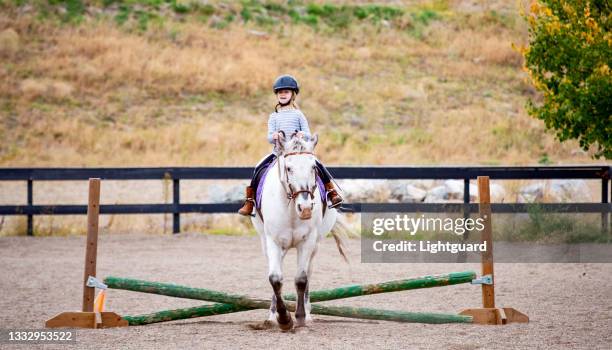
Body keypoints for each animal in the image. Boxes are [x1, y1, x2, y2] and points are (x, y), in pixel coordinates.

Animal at [249, 132, 344, 330]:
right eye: (289, 168)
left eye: (313, 167)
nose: (306, 208)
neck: (292, 209)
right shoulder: (273, 241)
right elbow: (275, 278)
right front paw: (283, 319)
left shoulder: (307, 241)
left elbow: (301, 279)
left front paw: (299, 317)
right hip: (270, 244)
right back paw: (272, 316)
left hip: (315, 246)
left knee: (308, 273)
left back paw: (307, 314)